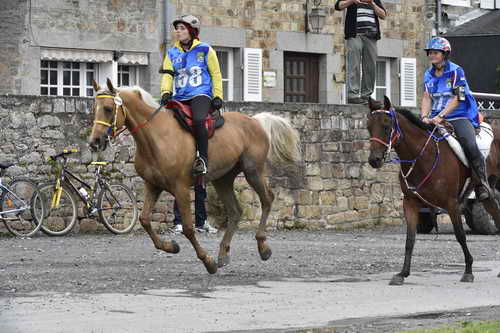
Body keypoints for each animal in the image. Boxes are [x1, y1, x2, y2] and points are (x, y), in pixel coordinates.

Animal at [88, 79, 300, 274]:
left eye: (108, 109)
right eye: (94, 108)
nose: (94, 142)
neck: (156, 137)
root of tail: (255, 121)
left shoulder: (180, 189)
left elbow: (189, 228)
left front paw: (207, 261)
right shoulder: (153, 185)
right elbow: (145, 219)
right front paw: (171, 247)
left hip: (253, 171)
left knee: (267, 199)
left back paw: (262, 247)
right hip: (223, 179)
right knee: (235, 211)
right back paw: (223, 253)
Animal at [366, 95, 498, 282]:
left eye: (386, 125)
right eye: (369, 127)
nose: (374, 160)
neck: (423, 156)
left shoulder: (451, 203)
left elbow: (460, 235)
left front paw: (468, 271)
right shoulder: (411, 202)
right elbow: (410, 239)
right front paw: (403, 273)